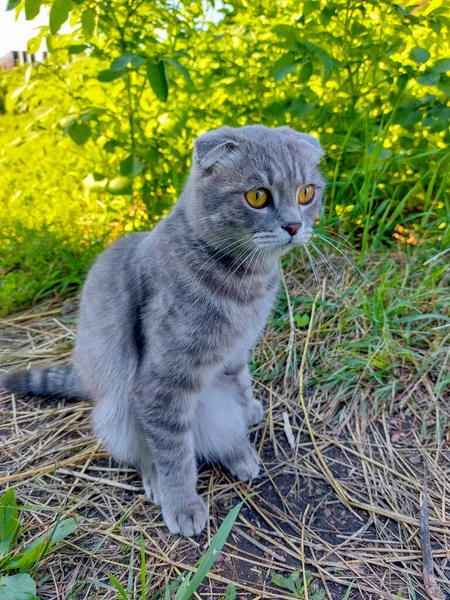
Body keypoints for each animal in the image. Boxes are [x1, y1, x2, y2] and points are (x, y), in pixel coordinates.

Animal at [0, 124, 324, 536]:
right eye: (257, 196)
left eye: (306, 192)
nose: (295, 225)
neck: (249, 283)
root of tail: (87, 378)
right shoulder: (162, 382)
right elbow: (174, 450)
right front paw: (182, 503)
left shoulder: (235, 353)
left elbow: (240, 383)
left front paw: (247, 409)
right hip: (117, 407)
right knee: (146, 446)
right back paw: (163, 478)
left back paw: (240, 451)